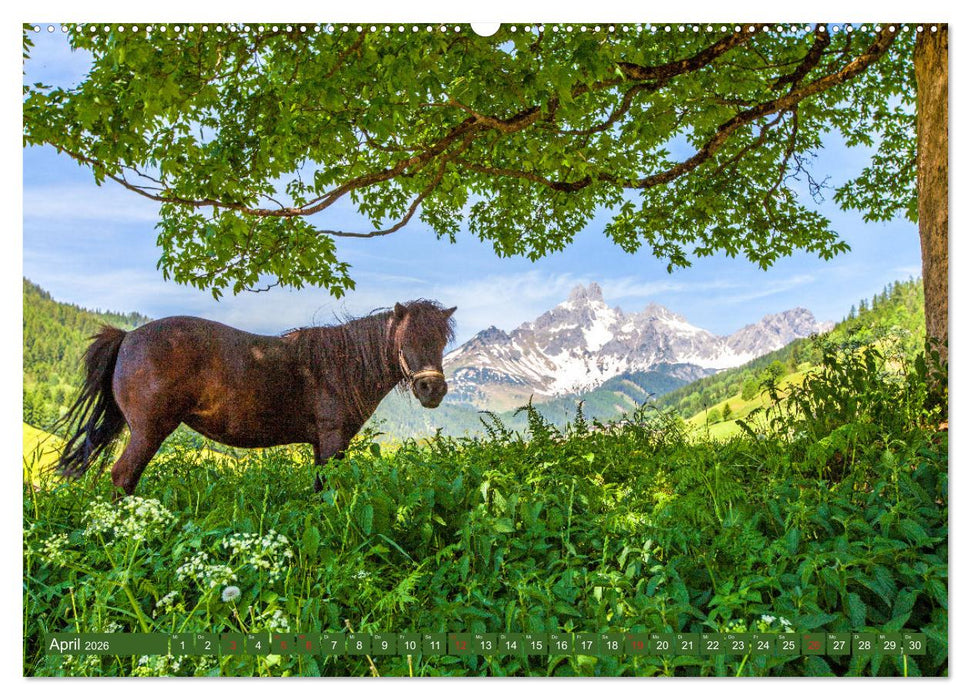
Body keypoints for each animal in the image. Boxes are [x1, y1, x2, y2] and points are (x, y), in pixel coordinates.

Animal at [54, 300, 456, 496]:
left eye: (440, 341)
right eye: (406, 341)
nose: (433, 389)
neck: (340, 365)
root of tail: (128, 336)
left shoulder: (321, 445)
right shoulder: (332, 441)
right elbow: (325, 489)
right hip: (148, 431)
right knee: (123, 477)